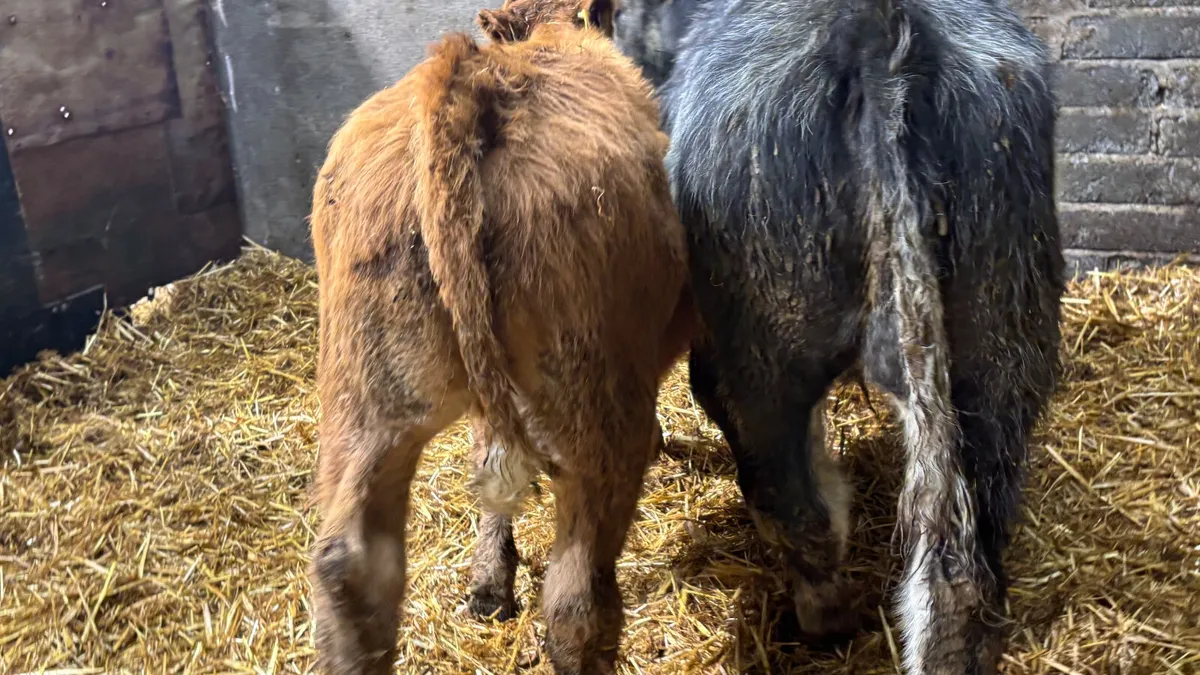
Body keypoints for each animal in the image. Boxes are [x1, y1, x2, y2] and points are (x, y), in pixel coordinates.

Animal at [306, 1, 695, 672]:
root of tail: (470, 80)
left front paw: (490, 579)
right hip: (594, 405)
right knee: (573, 599)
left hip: (368, 398)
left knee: (348, 567)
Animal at [611, 0, 1065, 673]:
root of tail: (884, 37)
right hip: (1003, 337)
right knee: (970, 556)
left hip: (758, 355)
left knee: (792, 504)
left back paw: (823, 620)